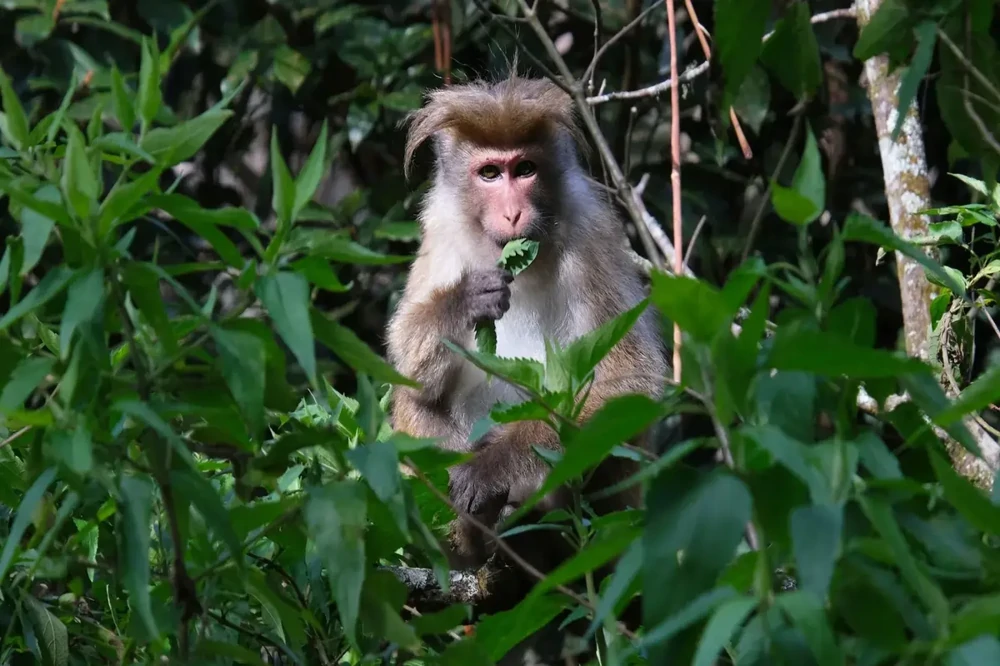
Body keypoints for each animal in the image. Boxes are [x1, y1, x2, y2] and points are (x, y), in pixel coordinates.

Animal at [386, 74, 668, 576]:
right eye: (490, 174)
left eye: (525, 169)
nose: (513, 212)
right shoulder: (440, 227)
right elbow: (406, 359)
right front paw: (464, 302)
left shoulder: (590, 233)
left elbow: (629, 379)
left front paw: (492, 467)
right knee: (417, 395)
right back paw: (475, 538)